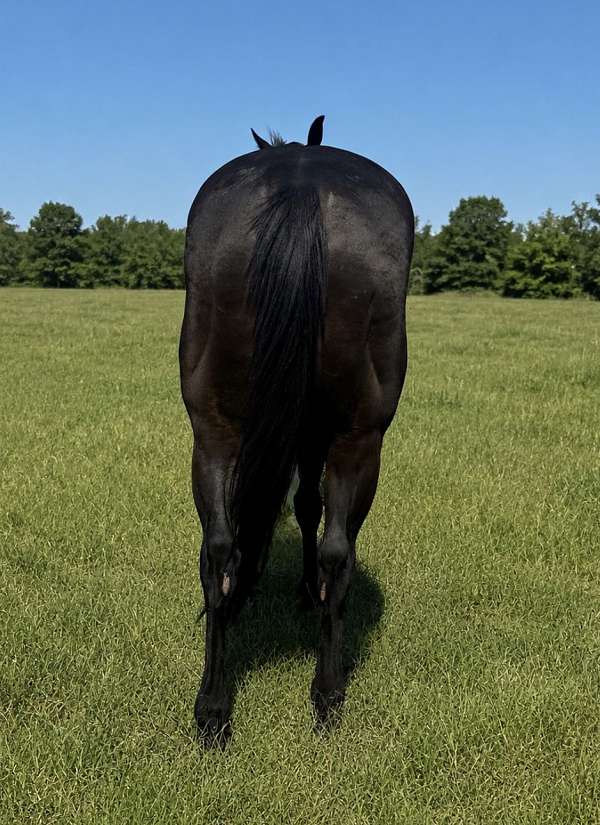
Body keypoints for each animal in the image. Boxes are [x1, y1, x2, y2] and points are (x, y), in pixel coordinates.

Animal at [179, 115, 414, 742]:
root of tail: (300, 179)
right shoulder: (317, 439)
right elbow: (309, 506)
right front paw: (305, 591)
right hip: (361, 439)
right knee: (337, 549)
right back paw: (328, 690)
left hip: (211, 429)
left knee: (217, 550)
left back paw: (213, 705)